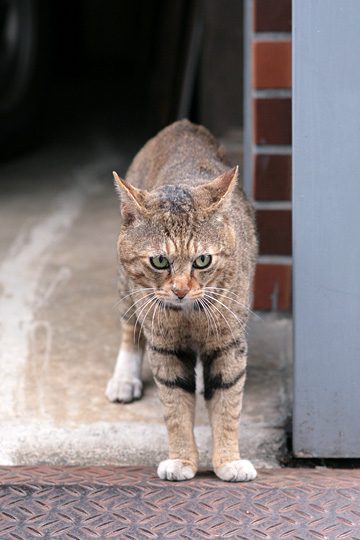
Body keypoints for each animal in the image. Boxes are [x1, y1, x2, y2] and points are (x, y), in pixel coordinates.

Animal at [105, 120, 258, 484]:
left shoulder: (228, 344)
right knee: (129, 329)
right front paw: (182, 460)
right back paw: (124, 379)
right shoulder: (166, 348)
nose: (180, 290)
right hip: (127, 289)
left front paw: (228, 461)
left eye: (202, 261)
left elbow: (227, 404)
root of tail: (181, 124)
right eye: (159, 261)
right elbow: (175, 407)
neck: (189, 314)